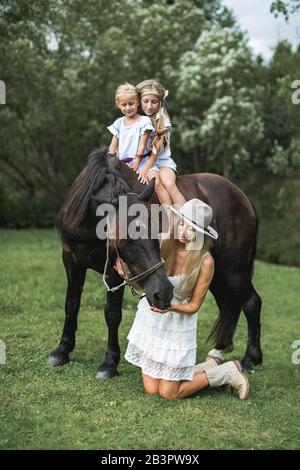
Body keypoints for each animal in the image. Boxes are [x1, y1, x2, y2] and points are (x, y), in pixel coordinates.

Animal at [48, 149, 262, 376]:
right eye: (126, 238)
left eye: (156, 230)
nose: (164, 293)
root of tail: (243, 197)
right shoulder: (71, 260)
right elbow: (71, 304)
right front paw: (62, 350)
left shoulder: (115, 272)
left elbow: (112, 313)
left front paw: (109, 362)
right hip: (218, 273)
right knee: (228, 305)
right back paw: (219, 350)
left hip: (234, 270)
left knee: (251, 303)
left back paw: (250, 359)